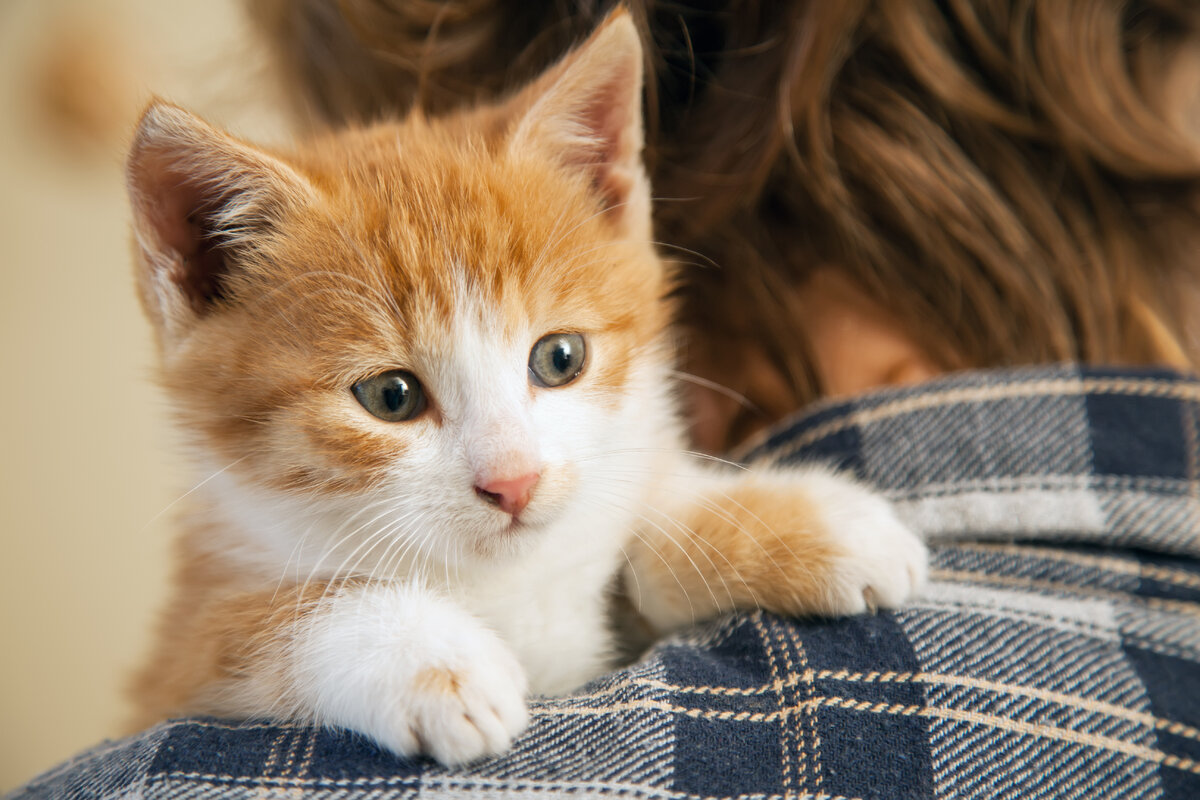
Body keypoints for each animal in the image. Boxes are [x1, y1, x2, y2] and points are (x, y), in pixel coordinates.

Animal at [124, 9, 926, 767]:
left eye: (561, 358)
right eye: (390, 397)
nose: (513, 482)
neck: (504, 586)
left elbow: (638, 546)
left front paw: (807, 525)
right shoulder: (175, 664)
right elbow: (260, 621)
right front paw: (428, 658)